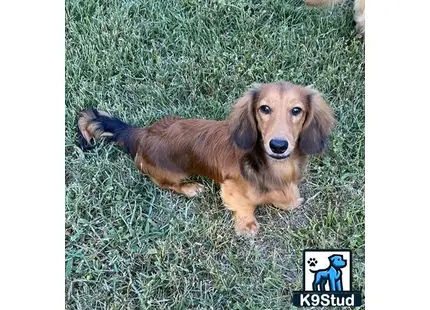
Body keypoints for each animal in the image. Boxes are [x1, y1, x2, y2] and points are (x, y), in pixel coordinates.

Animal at [79, 81, 338, 236]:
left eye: (296, 110)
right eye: (264, 109)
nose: (278, 145)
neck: (274, 165)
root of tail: (141, 133)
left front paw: (289, 199)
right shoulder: (231, 187)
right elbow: (244, 205)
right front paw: (247, 225)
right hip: (171, 172)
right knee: (166, 184)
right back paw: (190, 187)